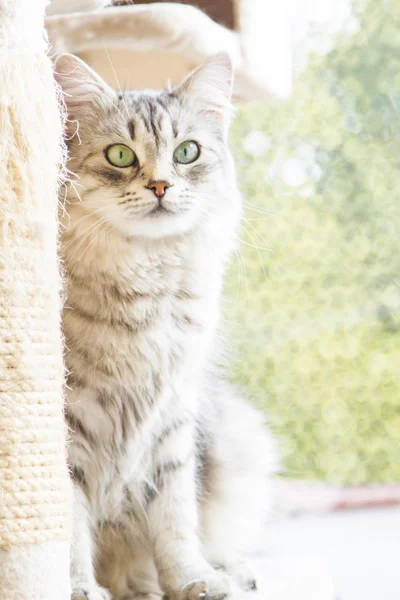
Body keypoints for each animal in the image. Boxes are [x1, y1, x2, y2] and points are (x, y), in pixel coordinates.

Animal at [54, 51, 276, 600]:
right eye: (120, 155)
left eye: (187, 152)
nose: (160, 185)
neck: (147, 289)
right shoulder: (66, 430)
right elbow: (70, 528)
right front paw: (78, 588)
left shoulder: (173, 414)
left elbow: (175, 520)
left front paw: (194, 581)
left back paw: (227, 571)